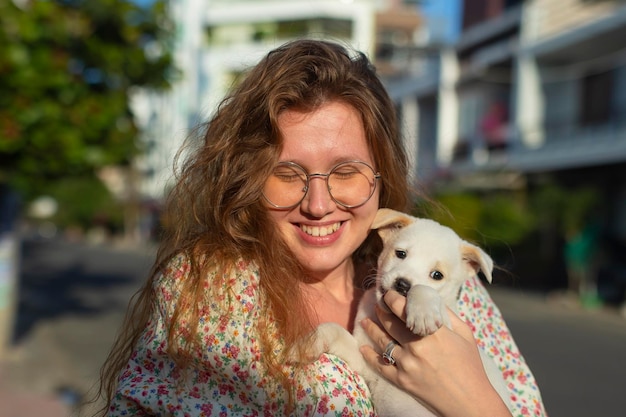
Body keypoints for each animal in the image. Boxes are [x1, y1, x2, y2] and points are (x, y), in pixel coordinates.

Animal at [310, 208, 510, 416]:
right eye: (401, 253)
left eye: (437, 275)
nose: (403, 285)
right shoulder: (367, 361)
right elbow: (336, 331)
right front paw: (310, 342)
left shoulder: (448, 327)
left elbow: (426, 292)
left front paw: (423, 312)